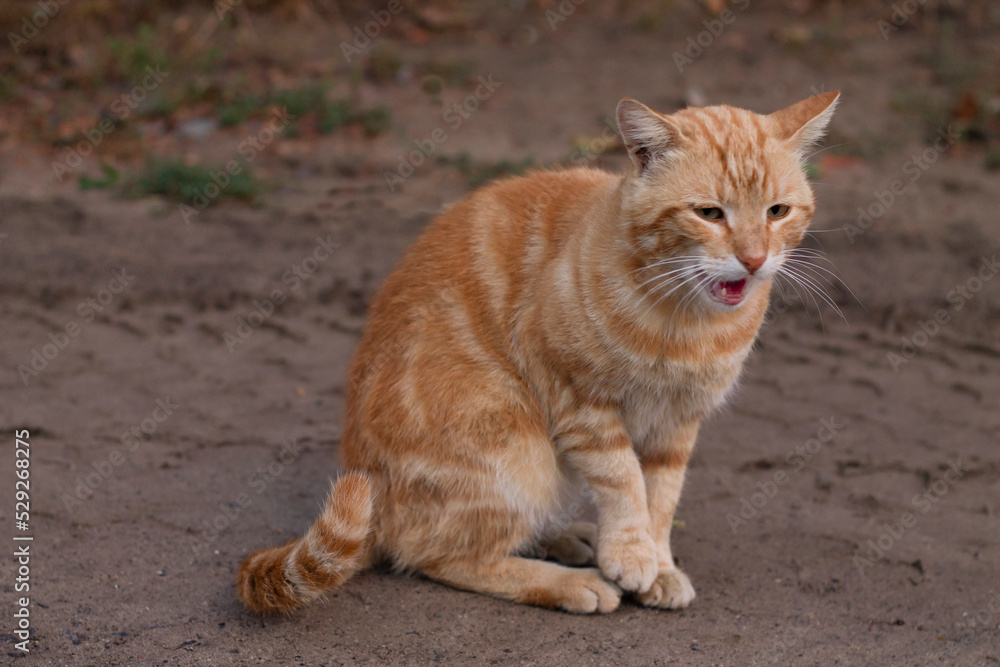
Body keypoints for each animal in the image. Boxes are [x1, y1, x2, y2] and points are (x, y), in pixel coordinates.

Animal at [238, 91, 840, 612]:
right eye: (710, 214)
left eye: (778, 212)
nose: (754, 259)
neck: (688, 323)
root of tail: (369, 492)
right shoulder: (581, 401)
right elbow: (623, 480)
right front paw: (632, 555)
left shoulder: (677, 424)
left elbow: (661, 497)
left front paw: (657, 562)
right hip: (516, 444)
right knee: (437, 554)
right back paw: (571, 581)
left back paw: (573, 540)